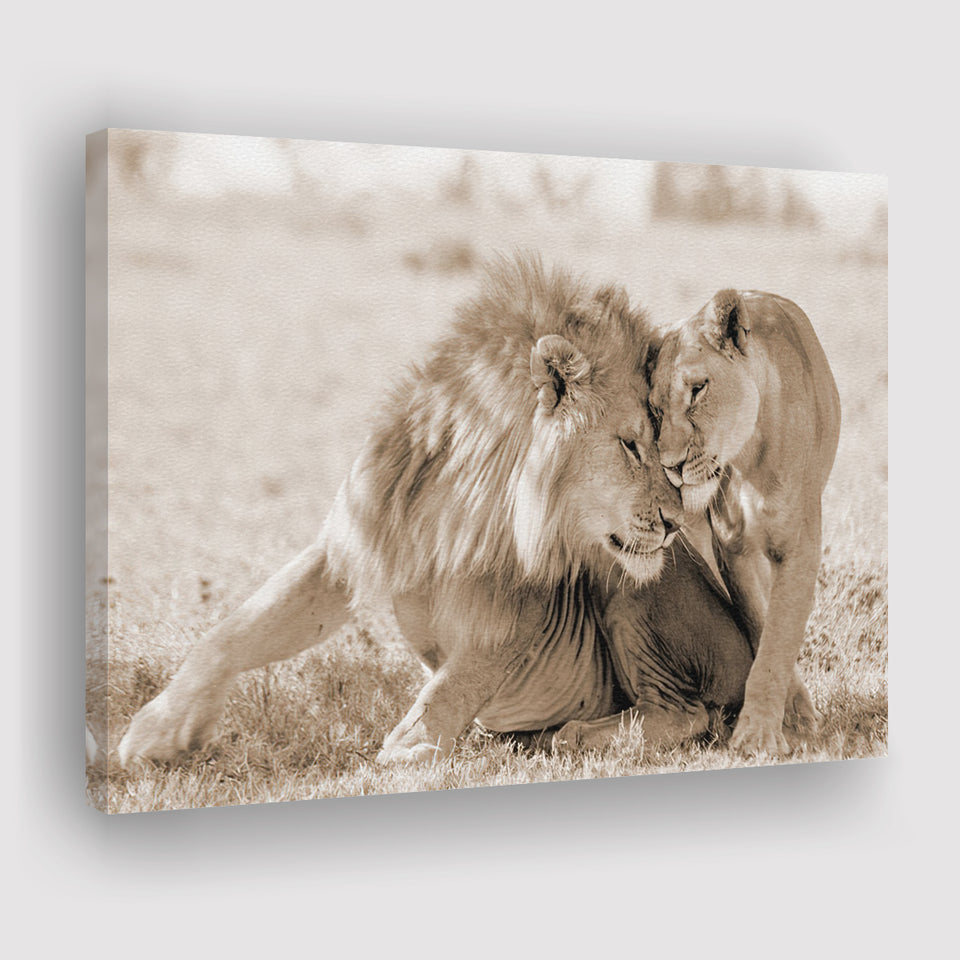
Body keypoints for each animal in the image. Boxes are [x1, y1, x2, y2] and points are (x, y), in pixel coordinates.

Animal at [117, 256, 757, 769]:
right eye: (631, 445)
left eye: (661, 440)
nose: (676, 522)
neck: (462, 499)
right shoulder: (355, 541)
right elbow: (238, 629)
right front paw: (159, 730)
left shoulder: (520, 609)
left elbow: (452, 684)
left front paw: (412, 744)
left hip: (629, 588)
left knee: (690, 713)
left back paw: (575, 734)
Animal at [643, 289, 841, 757]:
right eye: (655, 409)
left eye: (698, 390)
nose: (670, 466)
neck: (749, 457)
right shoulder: (732, 548)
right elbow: (761, 624)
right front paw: (784, 716)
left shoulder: (799, 546)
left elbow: (779, 636)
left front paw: (758, 734)